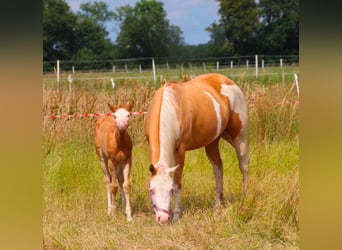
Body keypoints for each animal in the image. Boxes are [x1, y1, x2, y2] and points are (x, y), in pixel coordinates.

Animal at [144, 72, 248, 225]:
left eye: (170, 191)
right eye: (151, 190)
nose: (162, 219)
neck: (170, 107)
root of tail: (228, 81)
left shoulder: (180, 151)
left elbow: (178, 183)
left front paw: (176, 215)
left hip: (239, 138)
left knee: (244, 166)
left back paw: (245, 197)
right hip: (212, 142)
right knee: (218, 169)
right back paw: (218, 204)